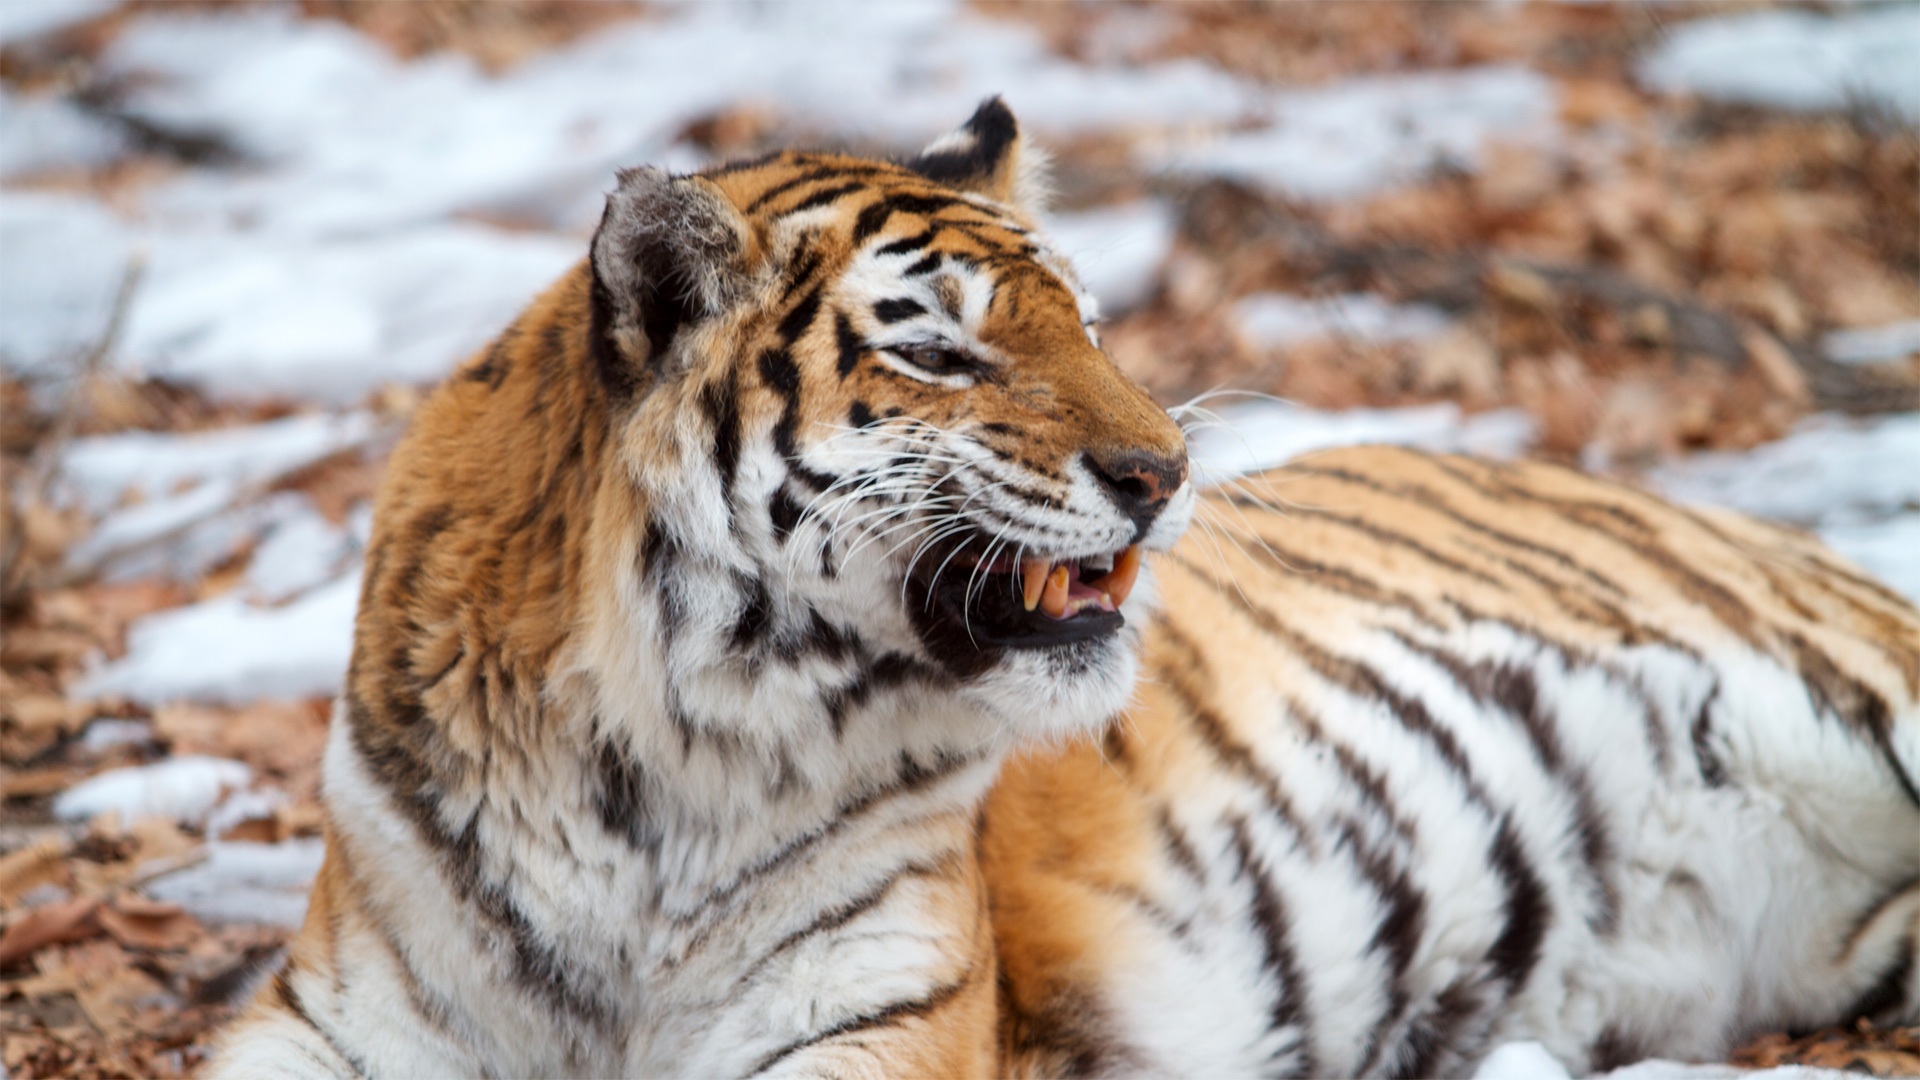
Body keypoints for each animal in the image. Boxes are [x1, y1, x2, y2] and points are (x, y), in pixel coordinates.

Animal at [214, 100, 1920, 1076]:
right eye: (938, 348)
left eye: (1089, 324)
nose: (1167, 472)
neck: (647, 781)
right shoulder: (338, 1022)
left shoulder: (876, 1025)